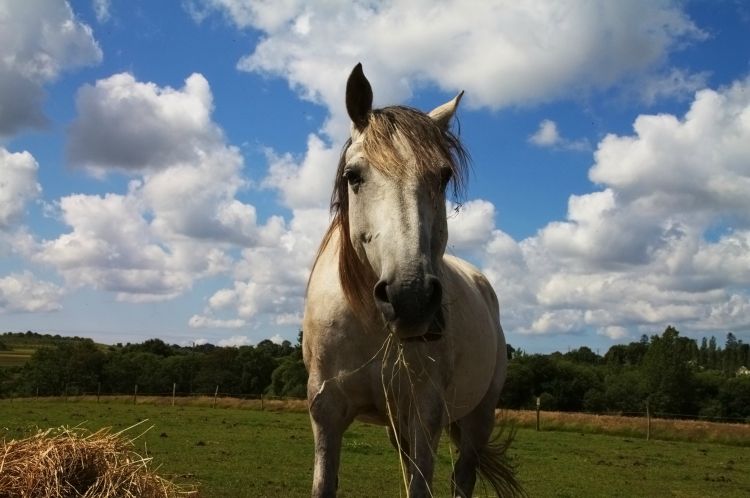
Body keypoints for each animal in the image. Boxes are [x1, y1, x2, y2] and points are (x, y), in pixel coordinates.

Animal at [302, 63, 524, 498]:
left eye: (443, 176)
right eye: (353, 175)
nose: (411, 298)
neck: (369, 323)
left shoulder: (426, 413)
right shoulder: (326, 412)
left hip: (478, 416)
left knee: (463, 477)